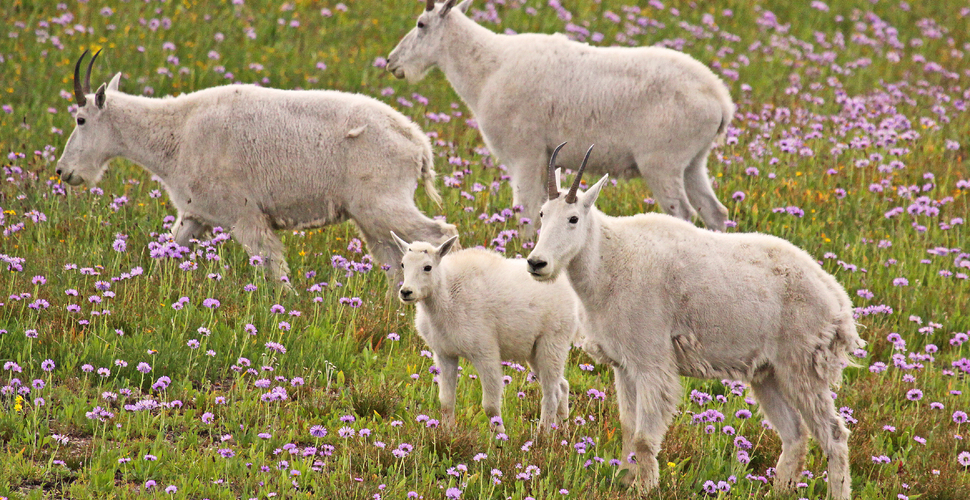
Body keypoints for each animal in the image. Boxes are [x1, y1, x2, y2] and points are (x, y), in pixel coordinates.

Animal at [56, 48, 458, 292]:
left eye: (80, 119)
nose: (63, 172)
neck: (177, 133)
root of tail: (418, 145)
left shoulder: (245, 214)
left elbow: (273, 265)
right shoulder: (195, 215)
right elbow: (167, 250)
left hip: (383, 203)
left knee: (439, 233)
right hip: (371, 217)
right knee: (394, 258)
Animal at [386, 0, 732, 236]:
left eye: (421, 24)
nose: (391, 62)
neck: (487, 70)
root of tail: (720, 101)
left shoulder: (524, 154)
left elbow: (526, 211)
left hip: (662, 162)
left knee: (684, 213)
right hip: (693, 162)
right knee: (715, 211)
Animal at [390, 233, 580, 434]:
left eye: (427, 267)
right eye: (403, 264)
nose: (406, 292)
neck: (446, 295)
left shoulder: (485, 352)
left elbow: (490, 406)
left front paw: (501, 436)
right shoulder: (445, 353)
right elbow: (446, 401)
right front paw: (447, 434)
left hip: (553, 340)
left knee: (552, 393)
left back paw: (542, 435)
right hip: (534, 350)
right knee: (563, 385)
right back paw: (563, 430)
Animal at [524, 143, 860, 498]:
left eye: (573, 218)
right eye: (543, 214)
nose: (537, 263)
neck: (607, 262)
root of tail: (837, 300)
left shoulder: (652, 362)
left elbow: (643, 437)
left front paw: (644, 488)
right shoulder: (624, 364)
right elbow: (628, 427)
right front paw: (625, 481)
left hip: (802, 366)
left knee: (835, 435)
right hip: (768, 373)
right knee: (795, 432)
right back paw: (779, 489)